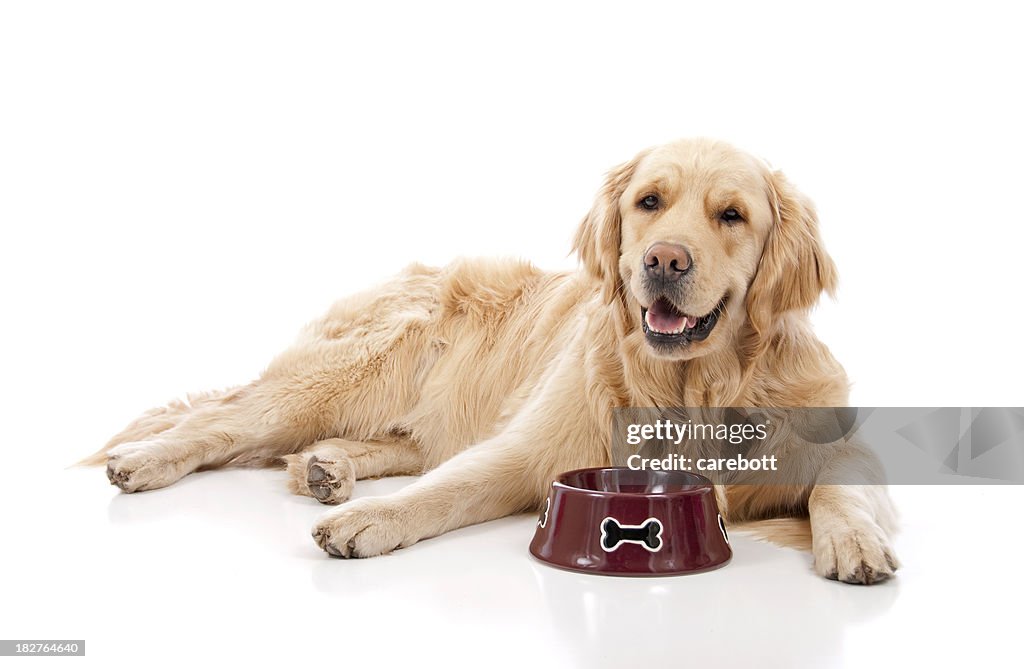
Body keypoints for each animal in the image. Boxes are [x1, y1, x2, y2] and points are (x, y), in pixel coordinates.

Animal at [90, 137, 905, 586]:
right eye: (649, 201)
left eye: (731, 215)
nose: (663, 260)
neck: (693, 387)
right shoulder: (529, 449)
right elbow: (446, 489)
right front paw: (371, 521)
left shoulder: (844, 444)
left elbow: (843, 488)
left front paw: (854, 540)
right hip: (346, 371)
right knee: (227, 420)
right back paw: (146, 459)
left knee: (385, 443)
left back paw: (328, 468)